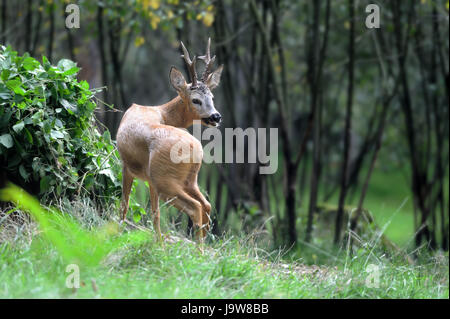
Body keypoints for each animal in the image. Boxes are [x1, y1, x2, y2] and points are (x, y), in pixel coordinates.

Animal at [115, 38, 222, 241]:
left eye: (212, 97)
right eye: (196, 100)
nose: (216, 116)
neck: (161, 113)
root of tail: (195, 148)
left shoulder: (128, 167)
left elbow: (126, 206)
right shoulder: (148, 179)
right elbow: (154, 213)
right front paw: (157, 242)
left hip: (164, 179)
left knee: (195, 208)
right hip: (188, 180)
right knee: (206, 205)